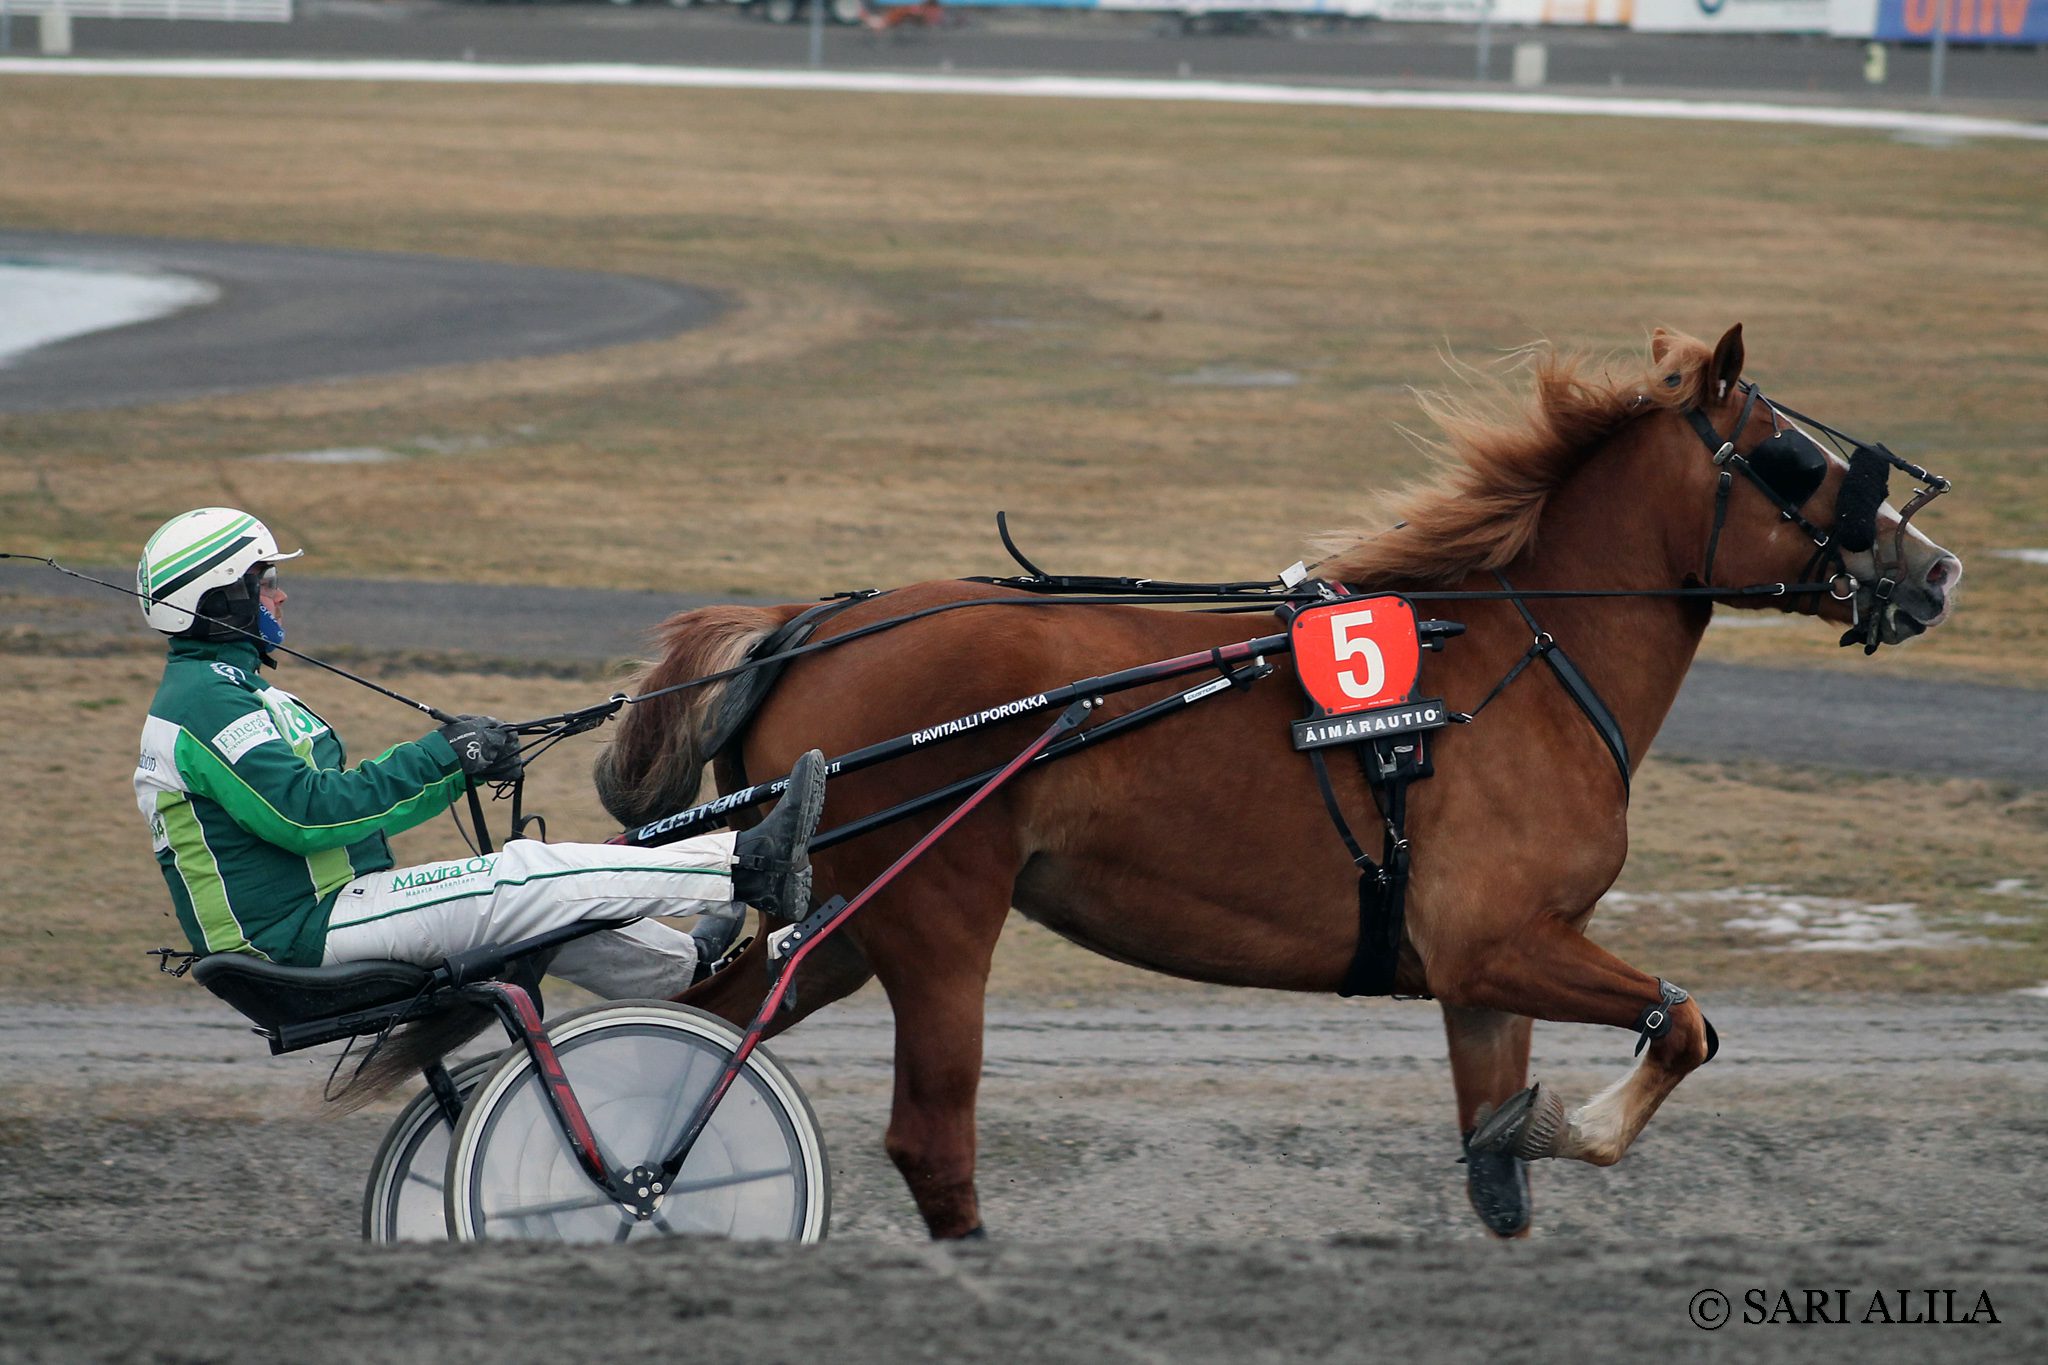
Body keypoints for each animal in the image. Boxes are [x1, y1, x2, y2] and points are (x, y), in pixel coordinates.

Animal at [593, 325, 1962, 1240]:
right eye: (1789, 460)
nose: (1935, 568)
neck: (1519, 659)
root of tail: (809, 627)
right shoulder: (1493, 939)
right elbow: (1682, 1023)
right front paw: (1583, 1123)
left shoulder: (1483, 977)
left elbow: (1497, 1167)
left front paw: (1527, 1139)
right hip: (935, 918)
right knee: (930, 1140)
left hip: (845, 921)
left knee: (712, 1028)